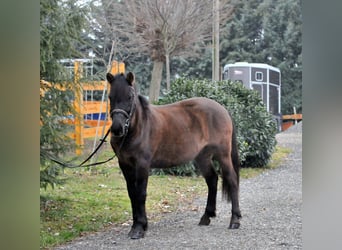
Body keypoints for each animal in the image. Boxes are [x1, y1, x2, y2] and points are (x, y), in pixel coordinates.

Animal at [105, 72, 242, 238]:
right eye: (110, 96)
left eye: (130, 97)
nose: (117, 128)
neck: (138, 127)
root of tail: (223, 109)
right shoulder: (125, 165)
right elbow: (132, 194)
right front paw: (137, 225)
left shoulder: (142, 165)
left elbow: (141, 194)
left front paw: (139, 227)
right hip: (203, 156)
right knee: (212, 179)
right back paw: (206, 216)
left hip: (223, 155)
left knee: (232, 180)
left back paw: (235, 220)